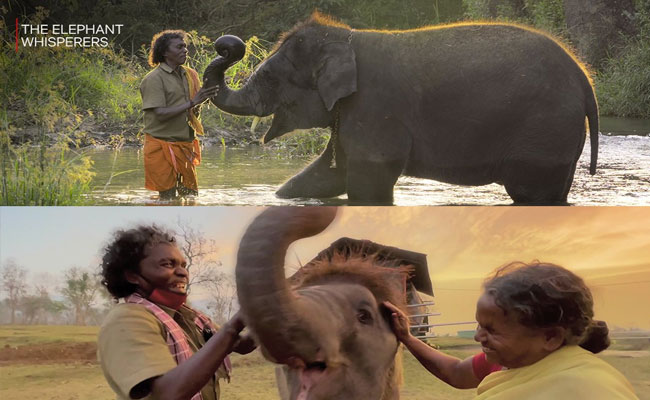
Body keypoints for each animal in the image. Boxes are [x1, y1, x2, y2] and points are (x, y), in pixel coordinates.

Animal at [204, 13, 599, 205]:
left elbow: (369, 184)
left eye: (270, 77)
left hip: (544, 130)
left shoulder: (375, 107)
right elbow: (327, 175)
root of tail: (584, 79)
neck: (347, 38)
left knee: (532, 193)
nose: (228, 45)